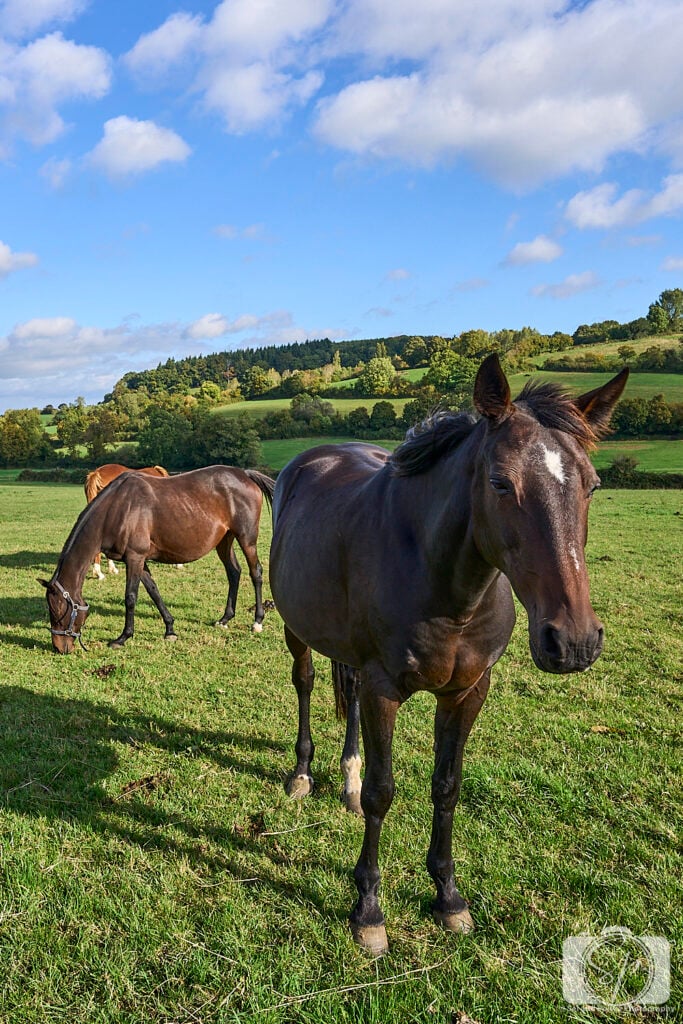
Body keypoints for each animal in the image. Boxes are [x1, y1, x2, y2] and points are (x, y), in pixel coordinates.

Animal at [40, 465, 275, 653]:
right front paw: (170, 629)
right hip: (224, 541)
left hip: (247, 539)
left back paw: (257, 621)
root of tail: (245, 474)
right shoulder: (140, 560)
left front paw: (123, 637)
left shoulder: (135, 558)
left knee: (256, 572)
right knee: (234, 572)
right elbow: (154, 592)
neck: (117, 508)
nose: (59, 647)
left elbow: (131, 597)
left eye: (57, 610)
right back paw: (225, 618)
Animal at [269, 353, 628, 956]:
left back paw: (346, 779)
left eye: (593, 485)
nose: (574, 641)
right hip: (297, 629)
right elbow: (384, 793)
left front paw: (448, 896)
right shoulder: (385, 688)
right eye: (501, 482)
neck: (445, 585)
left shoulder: (467, 691)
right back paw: (302, 774)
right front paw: (368, 909)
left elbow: (447, 786)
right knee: (305, 682)